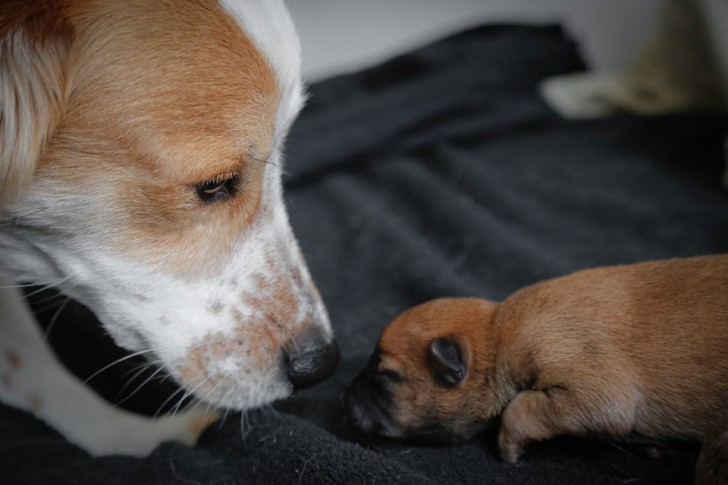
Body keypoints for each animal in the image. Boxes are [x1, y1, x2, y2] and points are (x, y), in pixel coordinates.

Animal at [344, 253, 728, 476]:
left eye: (386, 375)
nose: (343, 401)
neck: (498, 332)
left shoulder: (591, 386)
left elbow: (520, 407)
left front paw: (509, 447)